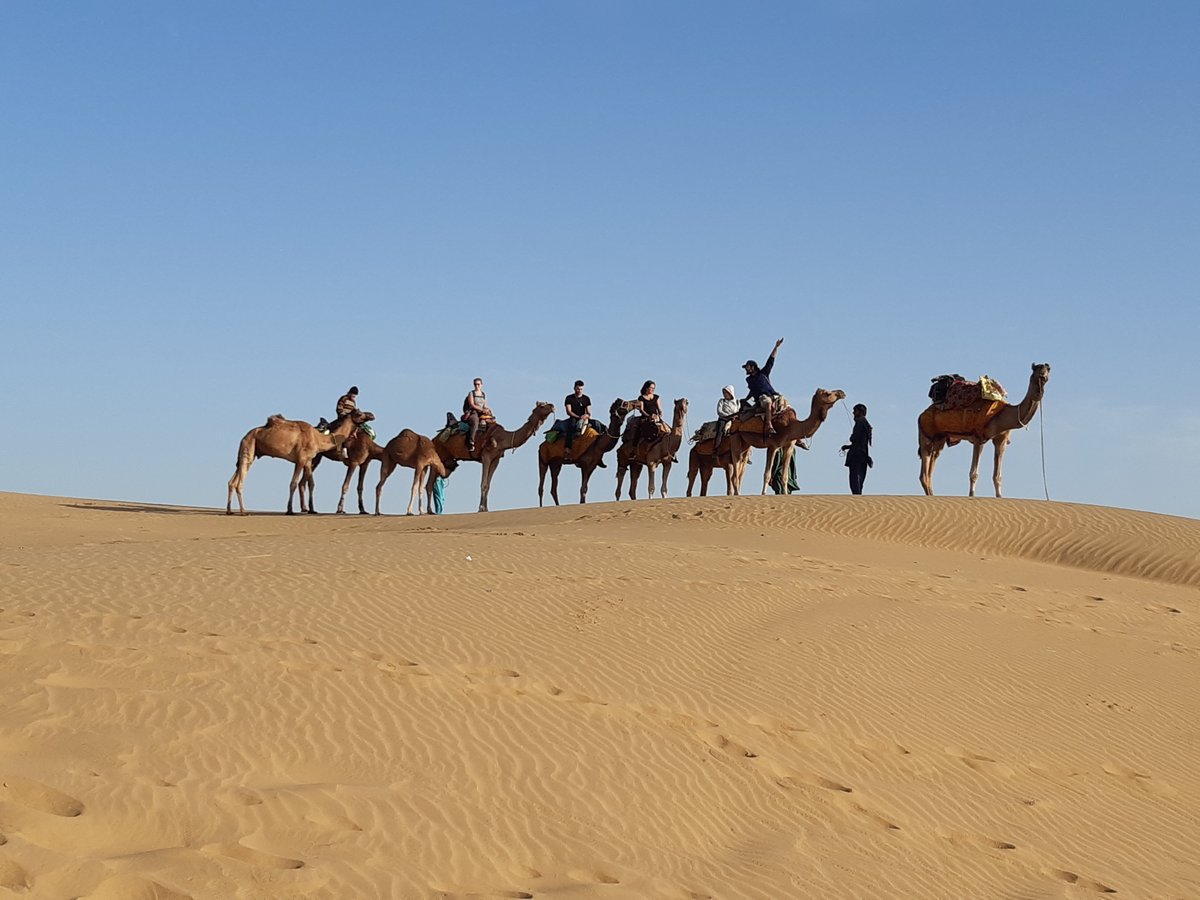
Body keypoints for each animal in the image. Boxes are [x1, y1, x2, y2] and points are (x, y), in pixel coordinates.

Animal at [225, 408, 372, 513]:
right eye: (359, 413)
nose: (372, 414)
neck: (319, 438)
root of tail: (244, 437)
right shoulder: (300, 459)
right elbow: (293, 483)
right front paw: (290, 510)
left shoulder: (308, 460)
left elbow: (311, 483)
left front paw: (312, 509)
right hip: (249, 448)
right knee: (240, 482)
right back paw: (243, 511)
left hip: (248, 452)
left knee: (232, 481)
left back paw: (229, 511)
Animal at [916, 362, 1051, 501]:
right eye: (1036, 369)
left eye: (1048, 369)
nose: (1043, 376)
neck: (1001, 414)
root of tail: (922, 414)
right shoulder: (978, 437)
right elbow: (974, 473)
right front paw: (971, 496)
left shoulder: (1001, 440)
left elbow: (997, 476)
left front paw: (1000, 497)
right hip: (925, 434)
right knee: (924, 472)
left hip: (940, 438)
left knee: (931, 468)